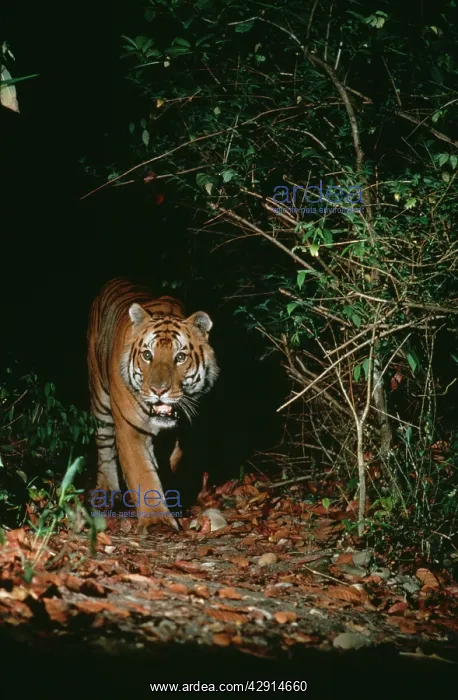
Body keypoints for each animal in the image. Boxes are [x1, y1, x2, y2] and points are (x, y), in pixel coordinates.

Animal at [87, 278, 219, 532]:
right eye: (147, 355)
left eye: (180, 358)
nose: (159, 391)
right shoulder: (130, 428)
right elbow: (142, 473)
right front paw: (157, 521)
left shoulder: (185, 429)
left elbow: (172, 462)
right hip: (100, 400)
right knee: (104, 446)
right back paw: (107, 494)